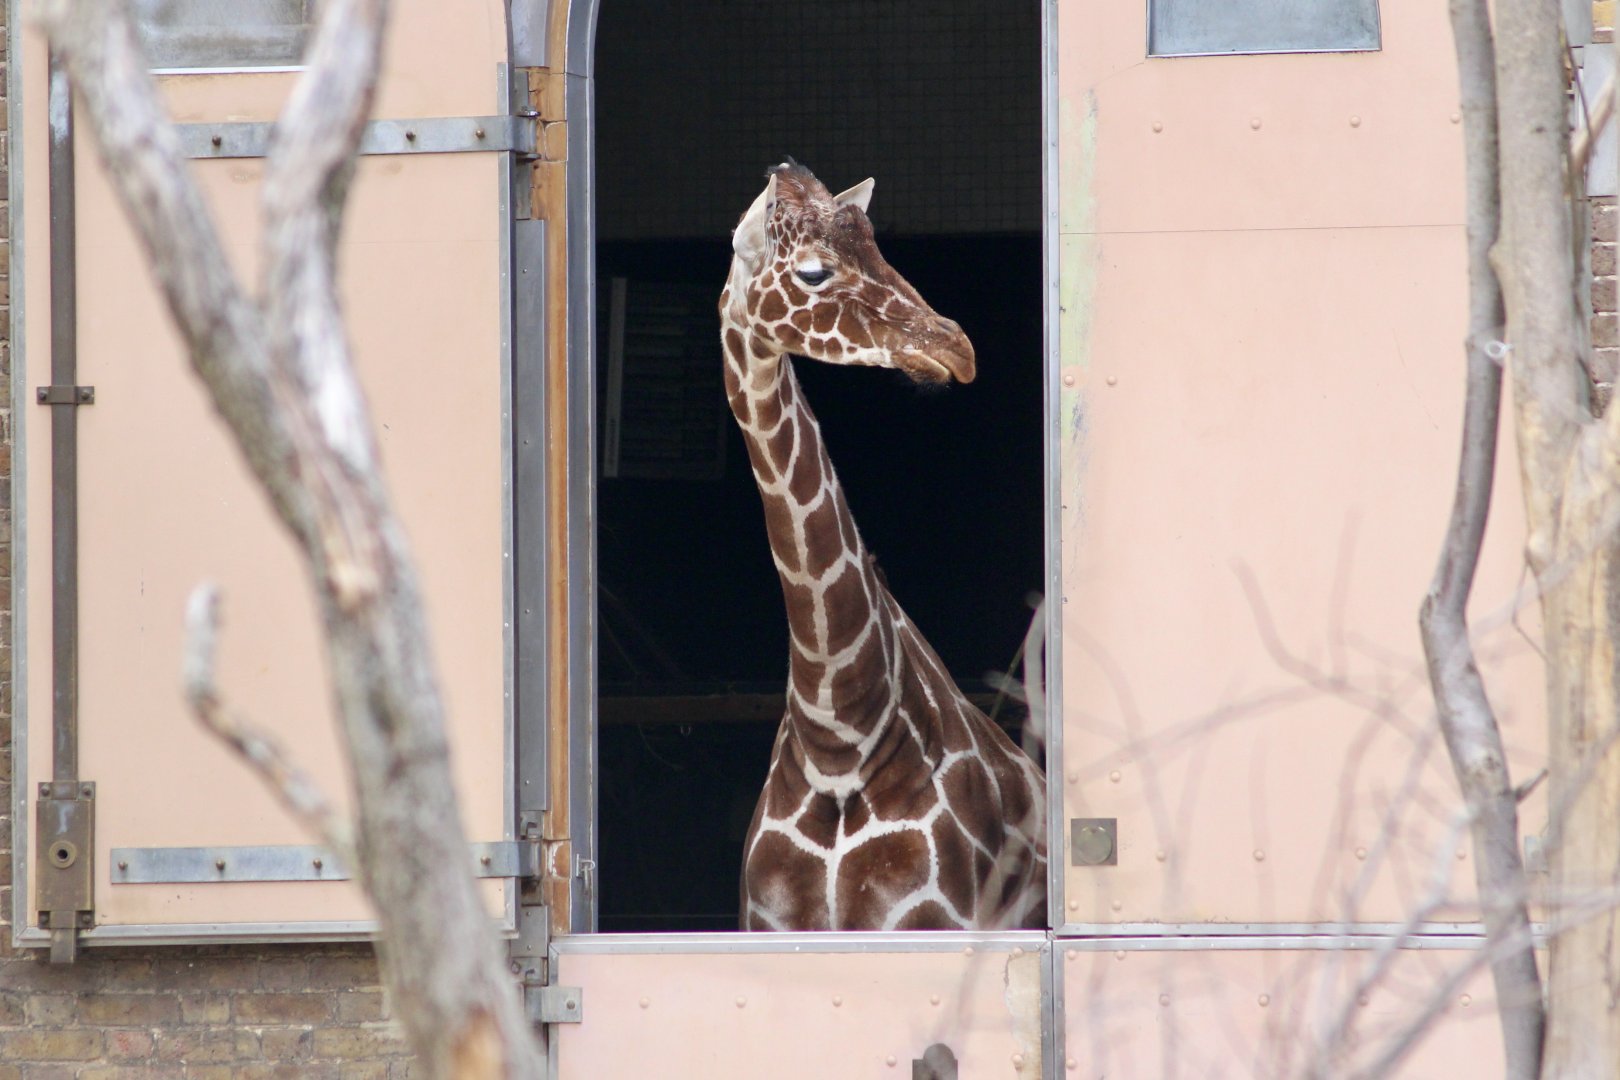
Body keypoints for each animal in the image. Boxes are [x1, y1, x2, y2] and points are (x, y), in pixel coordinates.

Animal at [721, 163, 1047, 931]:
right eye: (813, 271)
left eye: (879, 245)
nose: (955, 346)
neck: (838, 733)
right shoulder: (769, 926)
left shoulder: (928, 925)